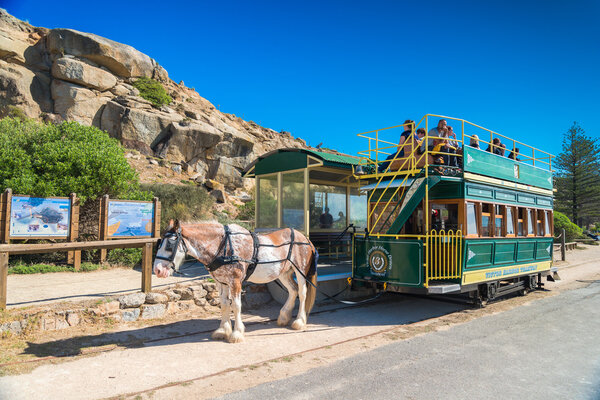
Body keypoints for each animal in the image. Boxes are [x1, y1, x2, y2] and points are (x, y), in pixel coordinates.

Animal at [154, 220, 318, 342]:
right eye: (159, 243)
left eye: (169, 245)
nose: (157, 270)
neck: (223, 245)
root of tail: (305, 238)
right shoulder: (222, 282)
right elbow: (225, 305)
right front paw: (222, 330)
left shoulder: (235, 281)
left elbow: (237, 306)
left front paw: (237, 333)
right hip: (283, 273)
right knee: (293, 290)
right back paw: (284, 317)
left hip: (300, 271)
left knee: (302, 293)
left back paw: (299, 321)